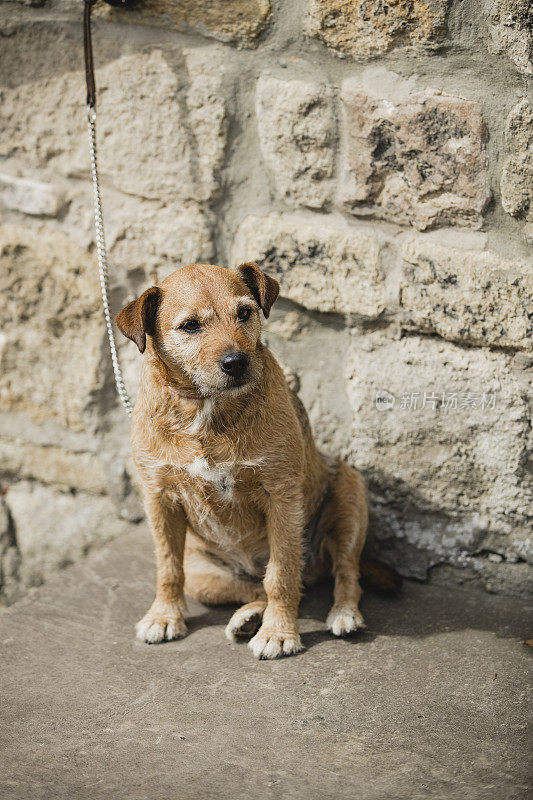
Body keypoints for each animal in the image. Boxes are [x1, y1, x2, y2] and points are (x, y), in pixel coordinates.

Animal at [117, 262, 370, 656]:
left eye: (245, 313)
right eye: (190, 325)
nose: (236, 362)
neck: (207, 409)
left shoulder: (281, 496)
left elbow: (282, 575)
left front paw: (280, 633)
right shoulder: (159, 498)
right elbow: (168, 568)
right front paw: (164, 615)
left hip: (350, 502)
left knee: (340, 572)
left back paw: (343, 613)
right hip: (204, 576)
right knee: (254, 586)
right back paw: (249, 617)